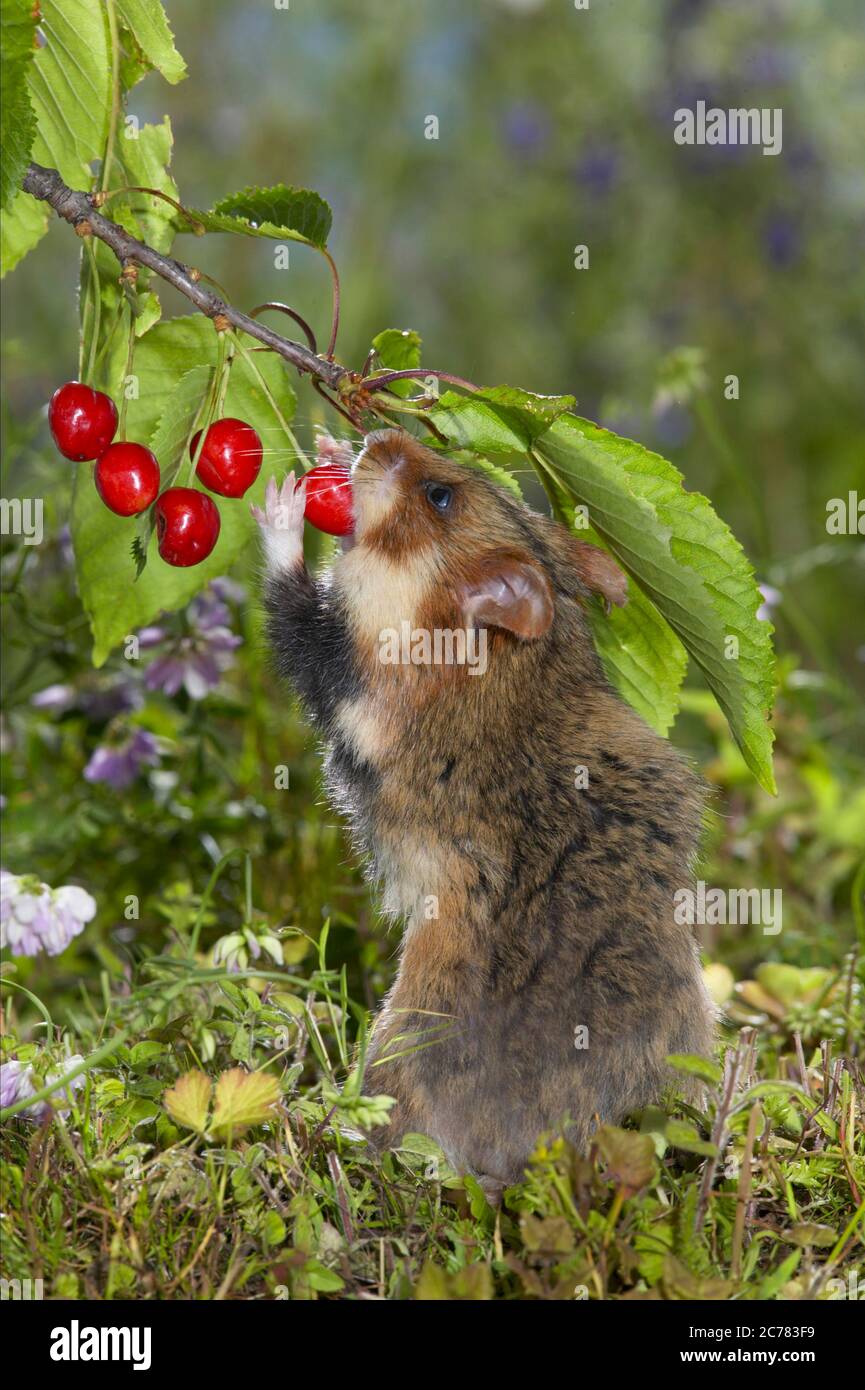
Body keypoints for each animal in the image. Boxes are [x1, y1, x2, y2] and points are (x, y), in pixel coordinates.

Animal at [257, 425, 717, 1195]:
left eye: (440, 496)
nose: (378, 433)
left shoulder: (357, 684)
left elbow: (296, 610)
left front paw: (282, 505)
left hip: (399, 1035)